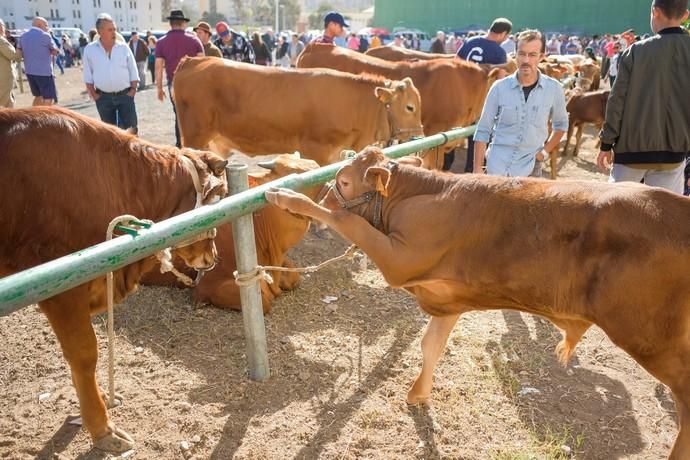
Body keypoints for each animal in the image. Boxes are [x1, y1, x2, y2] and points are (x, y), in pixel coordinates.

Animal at [266, 147, 688, 460]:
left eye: (342, 181)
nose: (325, 194)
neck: (419, 196)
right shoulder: (448, 300)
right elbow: (430, 346)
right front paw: (418, 395)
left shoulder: (398, 261)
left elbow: (346, 220)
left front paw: (287, 196)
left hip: (650, 338)